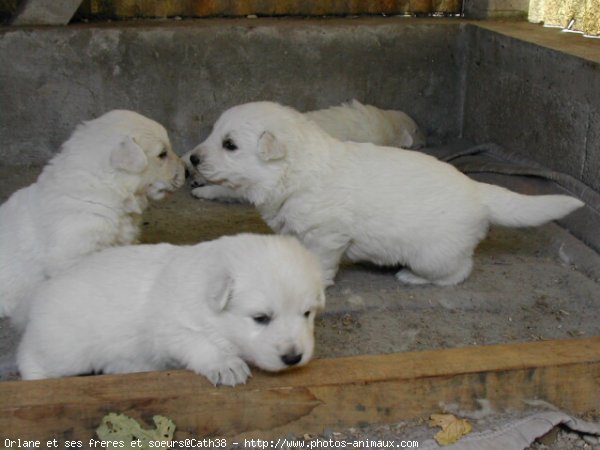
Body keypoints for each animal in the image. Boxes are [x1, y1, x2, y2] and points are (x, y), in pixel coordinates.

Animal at [16, 234, 326, 384]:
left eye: (307, 313)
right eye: (261, 318)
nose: (293, 357)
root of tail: (42, 293)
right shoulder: (170, 330)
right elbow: (199, 343)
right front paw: (226, 365)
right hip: (64, 349)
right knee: (30, 357)